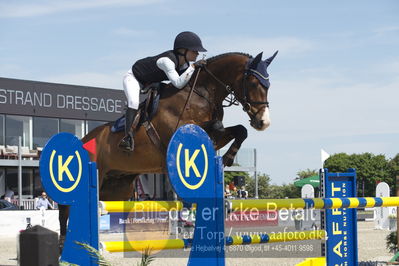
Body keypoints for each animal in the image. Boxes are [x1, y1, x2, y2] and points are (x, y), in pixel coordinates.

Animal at [58, 50, 278, 245]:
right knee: (66, 210)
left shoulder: (217, 136)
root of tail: (82, 140)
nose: (263, 122)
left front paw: (227, 158)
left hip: (117, 187)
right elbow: (219, 128)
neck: (201, 94)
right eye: (253, 83)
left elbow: (240, 130)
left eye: (268, 85)